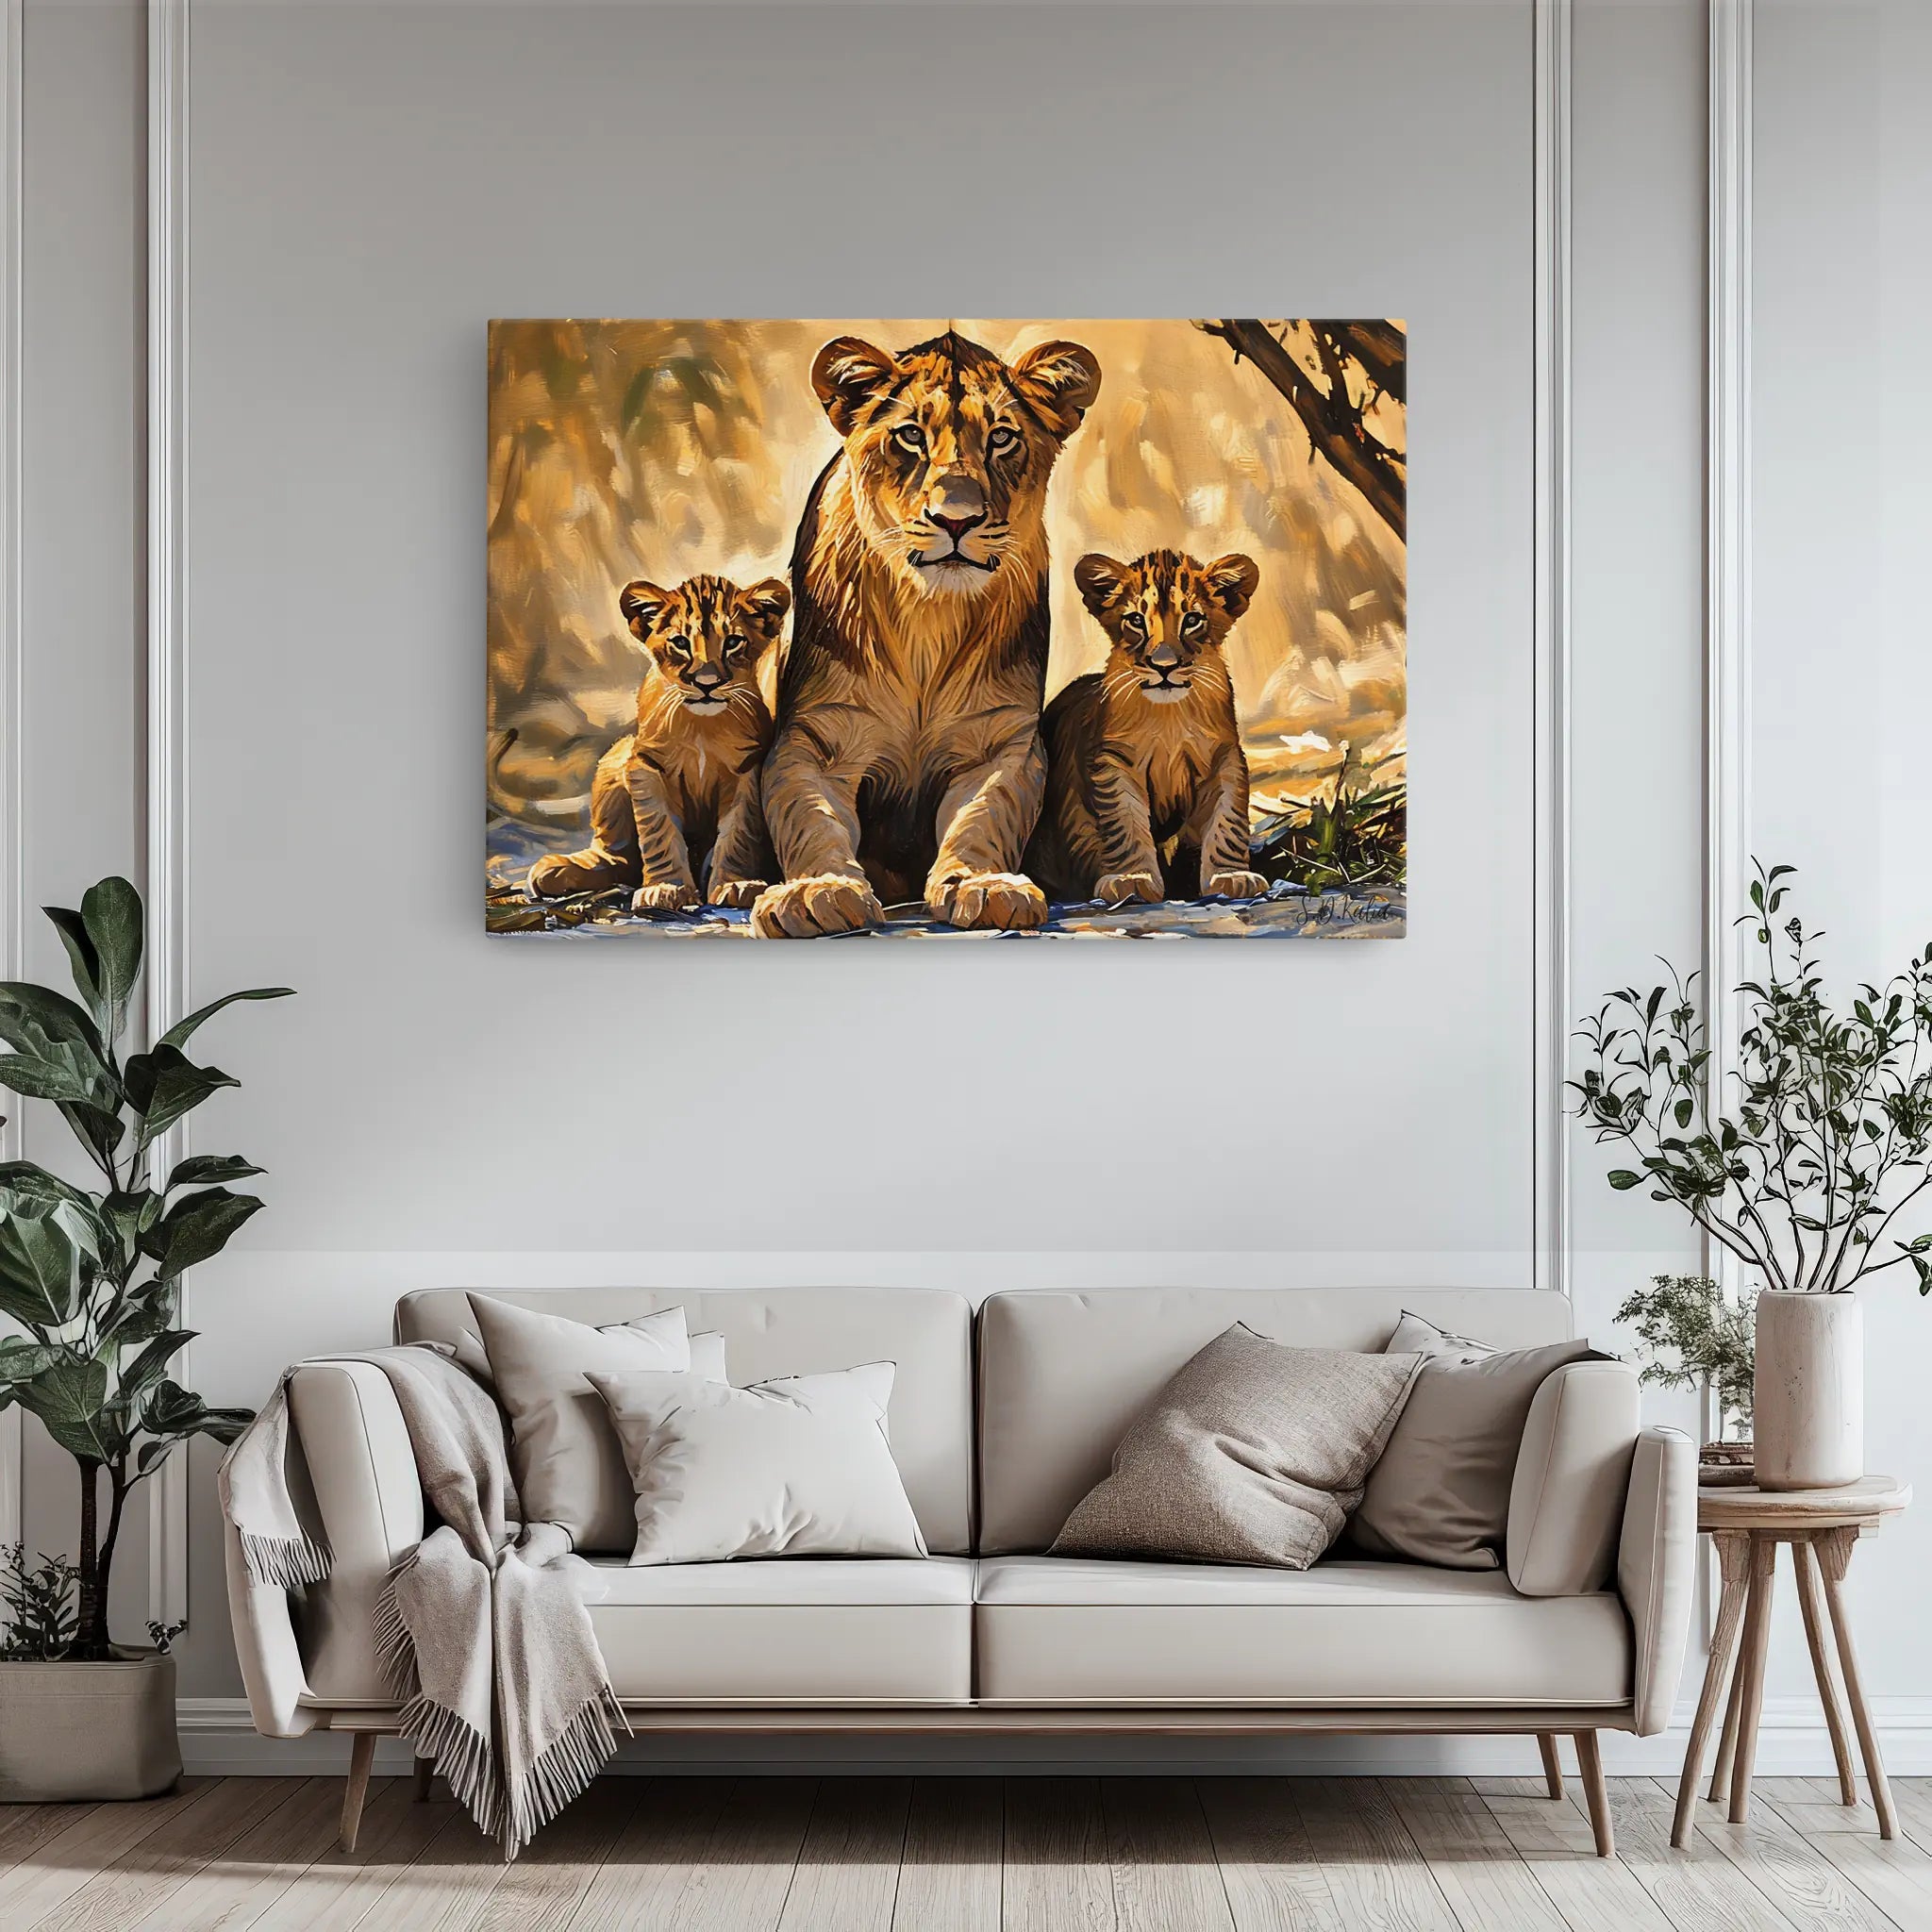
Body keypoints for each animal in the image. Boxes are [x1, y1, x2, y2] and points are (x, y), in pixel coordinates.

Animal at [526, 573, 789, 913]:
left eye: (733, 642)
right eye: (680, 643)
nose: (707, 684)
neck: (701, 726)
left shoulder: (747, 769)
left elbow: (738, 833)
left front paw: (735, 884)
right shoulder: (646, 766)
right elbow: (657, 832)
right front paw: (666, 888)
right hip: (616, 756)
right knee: (619, 856)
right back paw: (558, 870)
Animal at [750, 328, 1101, 938]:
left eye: (1002, 438)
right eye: (911, 435)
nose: (956, 519)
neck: (928, 616)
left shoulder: (1002, 742)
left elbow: (982, 819)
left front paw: (984, 885)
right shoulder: (814, 741)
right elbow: (811, 818)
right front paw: (818, 891)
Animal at [1024, 549, 1269, 905]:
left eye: (1192, 620)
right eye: (1136, 621)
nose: (1163, 666)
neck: (1170, 718)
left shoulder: (1225, 758)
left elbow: (1228, 821)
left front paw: (1230, 876)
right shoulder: (1113, 762)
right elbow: (1125, 824)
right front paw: (1132, 880)